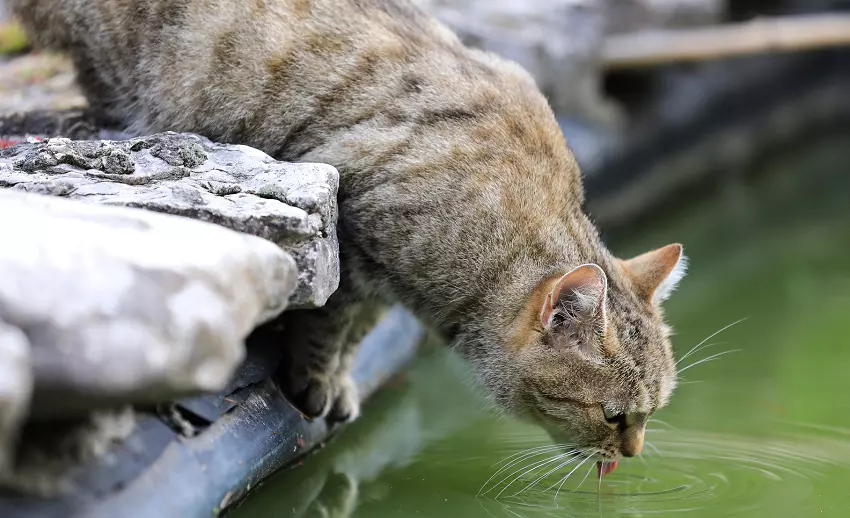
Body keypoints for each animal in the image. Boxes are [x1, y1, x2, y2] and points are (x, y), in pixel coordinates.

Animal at [13, 0, 684, 472]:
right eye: (614, 415)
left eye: (652, 413)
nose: (634, 454)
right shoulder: (353, 226)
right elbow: (331, 316)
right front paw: (316, 377)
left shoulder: (387, 279)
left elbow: (360, 330)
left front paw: (339, 378)